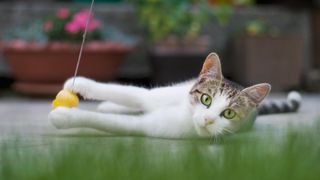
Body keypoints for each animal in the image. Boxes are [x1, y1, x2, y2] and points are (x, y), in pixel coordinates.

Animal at [48, 52, 302, 139]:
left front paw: (65, 117)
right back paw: (108, 105)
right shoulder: (153, 96)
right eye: (206, 99)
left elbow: (110, 122)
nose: (208, 119)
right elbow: (129, 92)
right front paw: (80, 83)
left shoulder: (149, 126)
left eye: (228, 114)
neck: (185, 111)